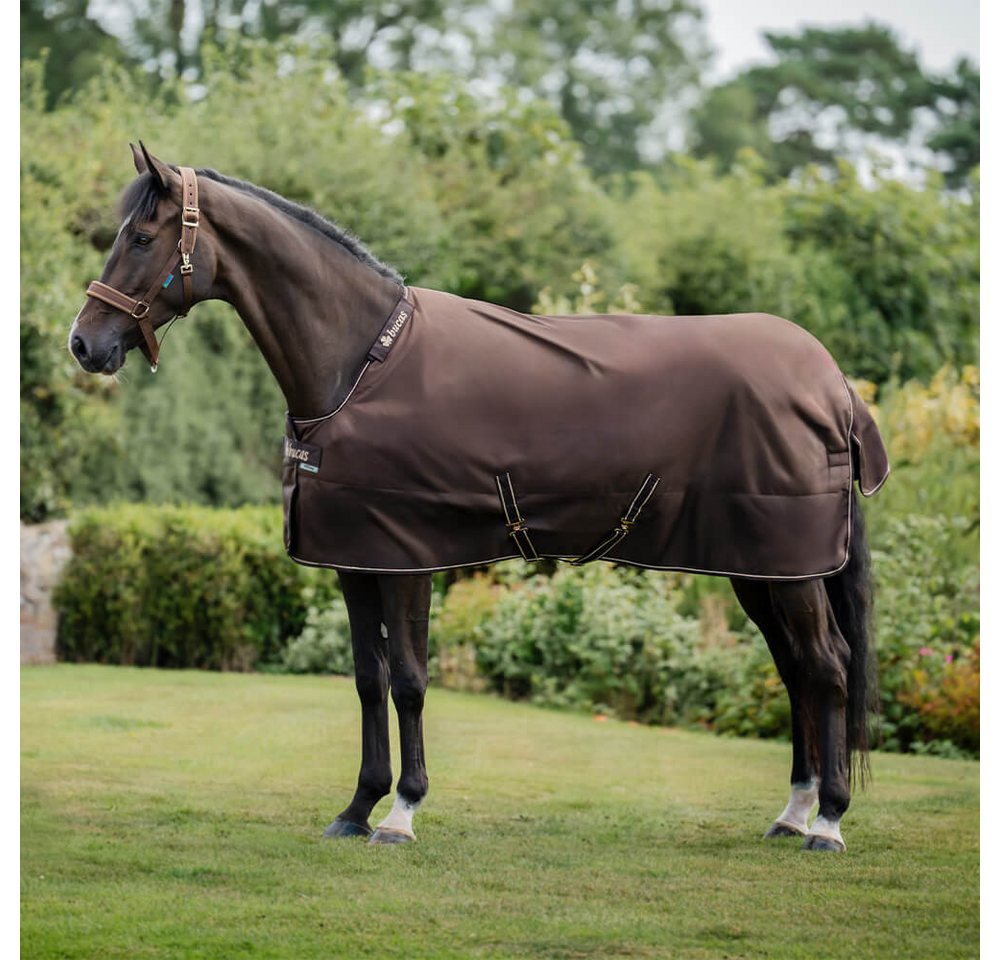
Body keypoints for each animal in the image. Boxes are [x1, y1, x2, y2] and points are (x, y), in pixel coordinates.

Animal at [68, 144, 888, 852]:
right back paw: (792, 812)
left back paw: (827, 823)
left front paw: (401, 812)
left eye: (142, 237)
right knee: (796, 671)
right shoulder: (353, 560)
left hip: (790, 569)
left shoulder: (406, 560)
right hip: (763, 569)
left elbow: (409, 681)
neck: (361, 362)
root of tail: (835, 385)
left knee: (827, 667)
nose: (84, 344)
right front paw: (356, 807)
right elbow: (367, 681)